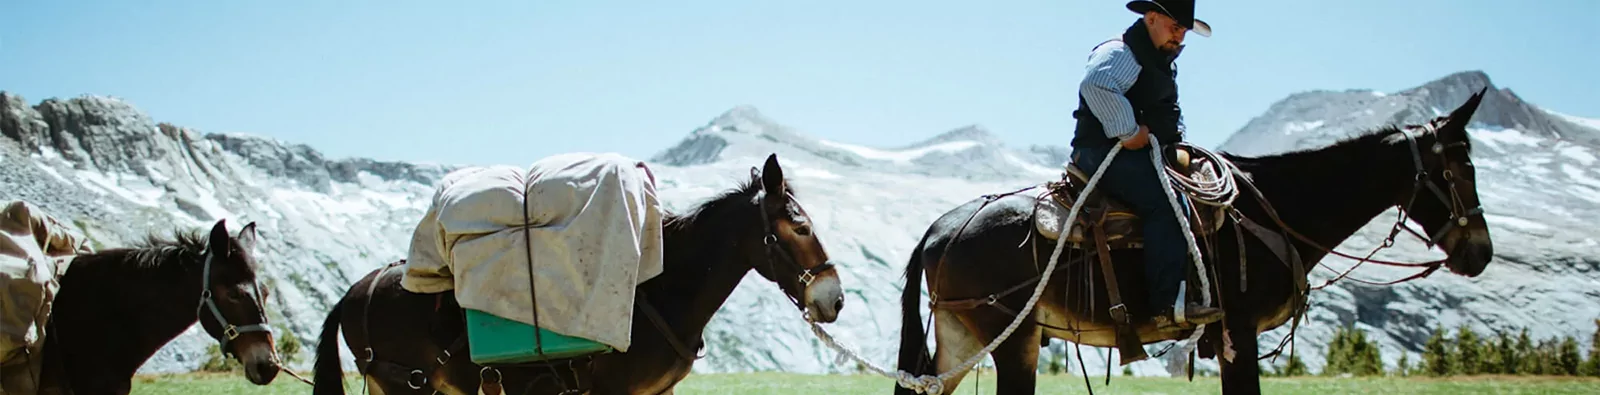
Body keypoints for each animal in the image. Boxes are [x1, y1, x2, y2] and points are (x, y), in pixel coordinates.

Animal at [896, 90, 1491, 395]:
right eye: (1460, 169)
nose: (1480, 253)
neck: (1275, 209)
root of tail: (942, 227)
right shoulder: (1239, 332)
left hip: (962, 336)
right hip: (1012, 340)